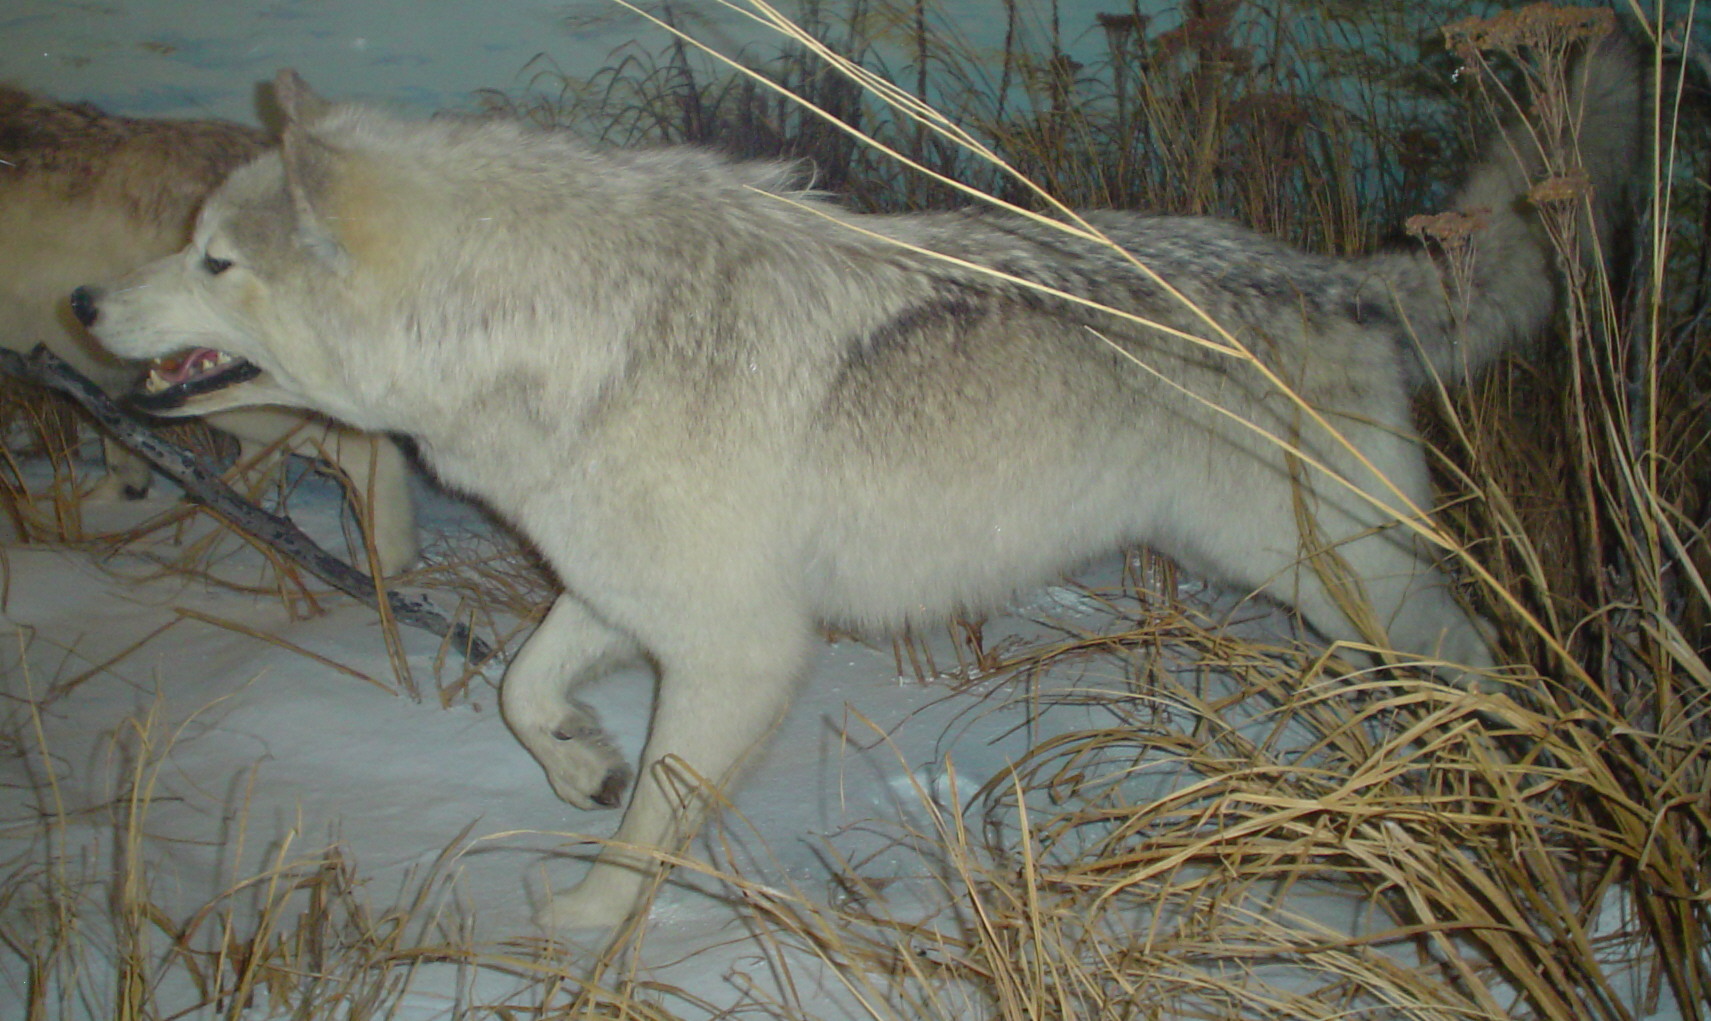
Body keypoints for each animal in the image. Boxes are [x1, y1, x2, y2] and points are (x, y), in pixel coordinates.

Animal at [70, 39, 1642, 930]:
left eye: (214, 258)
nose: (82, 301)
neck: (561, 331)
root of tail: (1347, 277)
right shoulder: (625, 596)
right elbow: (522, 691)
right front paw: (577, 762)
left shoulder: (740, 648)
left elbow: (652, 828)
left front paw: (576, 922)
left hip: (1343, 580)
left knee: (1487, 660)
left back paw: (1522, 800)